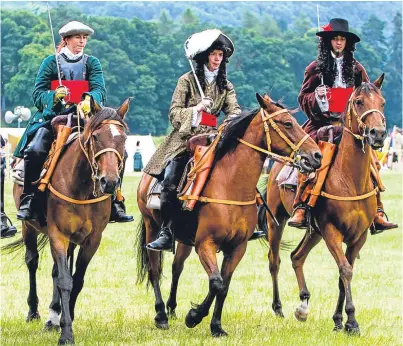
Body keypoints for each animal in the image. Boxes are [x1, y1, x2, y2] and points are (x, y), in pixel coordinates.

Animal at [1, 98, 130, 344]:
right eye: (96, 137)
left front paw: (63, 318)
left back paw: (53, 315)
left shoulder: (92, 240)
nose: (108, 182)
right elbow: (64, 280)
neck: (82, 185)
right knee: (32, 261)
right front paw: (66, 332)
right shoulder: (58, 234)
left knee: (54, 270)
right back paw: (34, 312)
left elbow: (76, 280)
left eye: (123, 138)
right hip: (29, 227)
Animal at [137, 92, 324, 336]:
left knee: (177, 268)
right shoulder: (205, 244)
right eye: (287, 123)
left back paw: (172, 308)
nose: (317, 155)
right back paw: (161, 315)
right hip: (152, 226)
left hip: (185, 240)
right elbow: (216, 282)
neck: (230, 185)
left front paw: (216, 326)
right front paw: (194, 316)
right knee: (155, 270)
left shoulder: (237, 247)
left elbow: (223, 286)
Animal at [260, 74, 390, 334]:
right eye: (359, 101)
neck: (350, 179)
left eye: (382, 102)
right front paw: (352, 320)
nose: (378, 134)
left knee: (297, 257)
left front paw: (340, 320)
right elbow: (345, 270)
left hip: (314, 232)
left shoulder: (358, 237)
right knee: (274, 260)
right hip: (276, 222)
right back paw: (278, 307)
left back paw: (303, 305)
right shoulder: (332, 231)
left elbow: (344, 274)